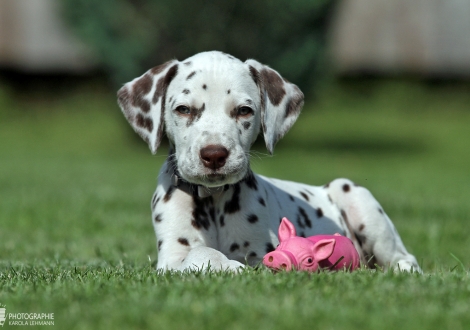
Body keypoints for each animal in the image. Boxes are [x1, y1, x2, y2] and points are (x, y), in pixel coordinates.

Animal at [117, 51, 422, 274]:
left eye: (244, 110)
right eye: (183, 109)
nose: (214, 154)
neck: (213, 201)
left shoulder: (261, 252)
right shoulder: (171, 258)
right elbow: (199, 252)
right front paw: (226, 264)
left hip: (355, 196)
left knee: (405, 259)